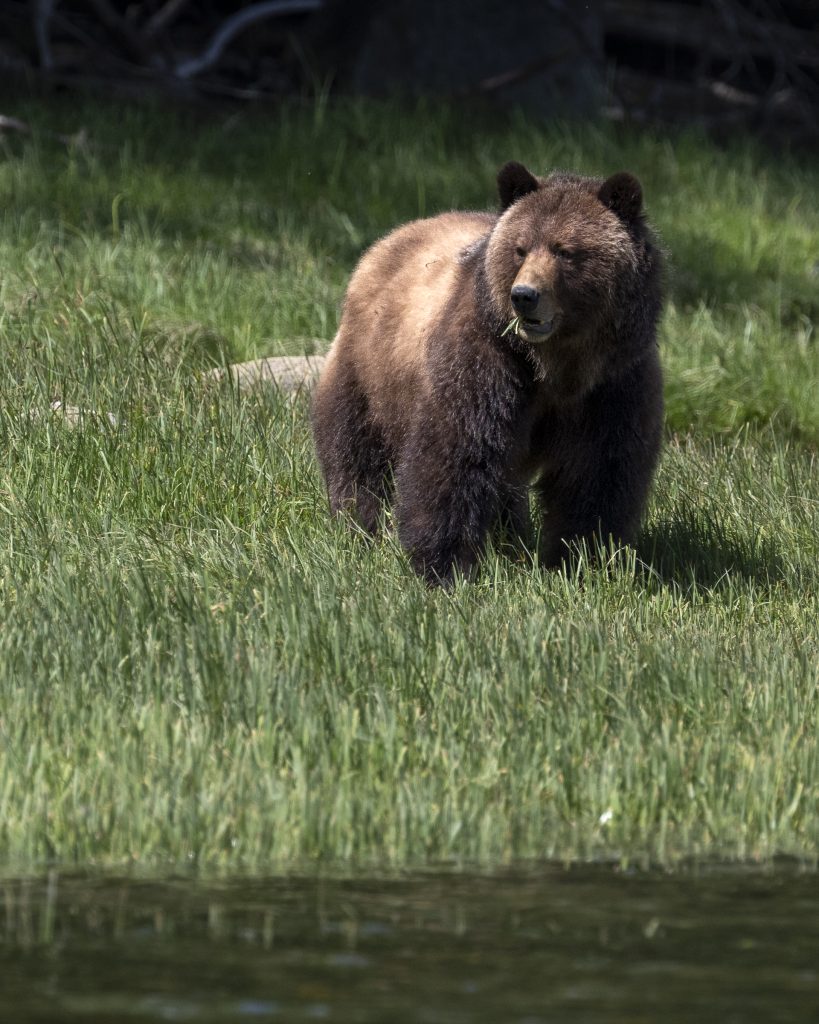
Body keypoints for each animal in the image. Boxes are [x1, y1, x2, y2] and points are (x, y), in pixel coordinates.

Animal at [312, 161, 664, 585]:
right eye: (521, 248)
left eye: (565, 251)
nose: (524, 296)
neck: (558, 367)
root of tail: (386, 241)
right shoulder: (490, 362)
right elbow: (456, 453)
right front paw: (442, 564)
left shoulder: (614, 381)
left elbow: (598, 473)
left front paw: (584, 558)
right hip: (369, 367)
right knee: (355, 450)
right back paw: (359, 526)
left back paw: (510, 538)